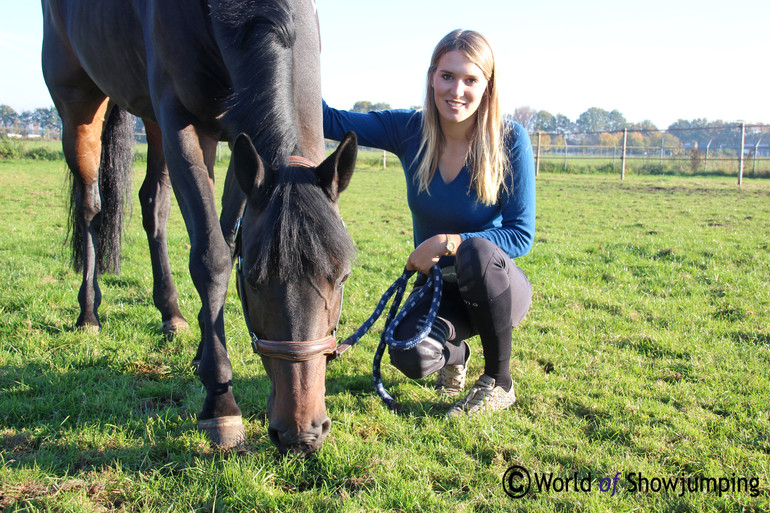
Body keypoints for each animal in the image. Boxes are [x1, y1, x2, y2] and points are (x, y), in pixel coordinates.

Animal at [40, 0, 356, 454]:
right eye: (253, 279)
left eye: (342, 276)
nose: (302, 433)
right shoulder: (184, 123)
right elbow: (212, 259)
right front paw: (220, 403)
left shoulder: (243, 145)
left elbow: (225, 236)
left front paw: (205, 350)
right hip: (79, 107)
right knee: (89, 207)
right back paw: (88, 313)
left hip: (152, 122)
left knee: (153, 205)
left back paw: (171, 314)